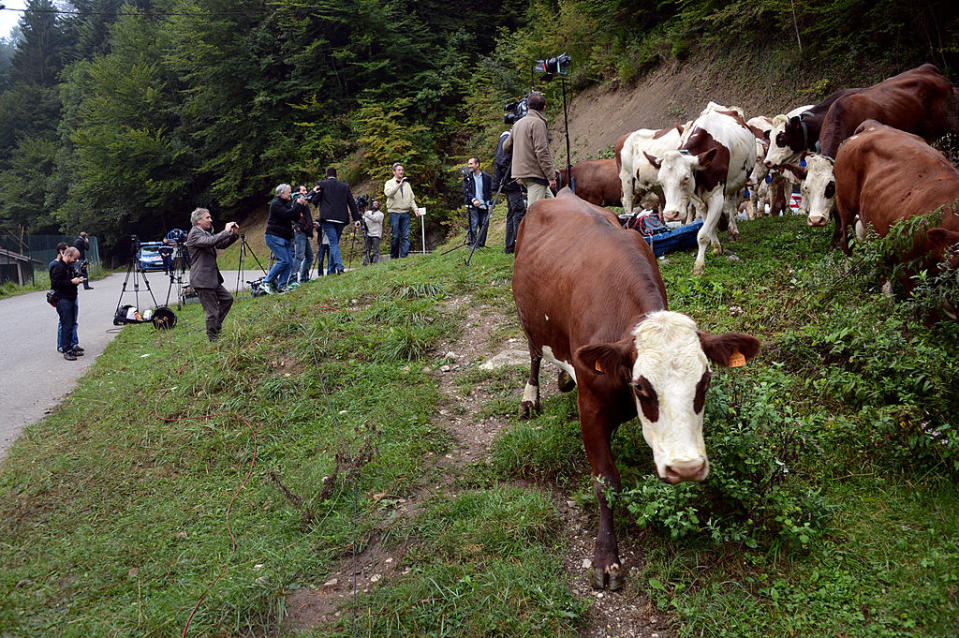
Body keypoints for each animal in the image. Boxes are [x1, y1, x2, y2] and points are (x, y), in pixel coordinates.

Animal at [512, 189, 760, 592]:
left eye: (705, 381)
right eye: (642, 386)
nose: (687, 467)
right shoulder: (591, 407)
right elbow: (606, 482)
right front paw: (606, 559)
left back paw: (563, 379)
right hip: (528, 317)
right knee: (534, 353)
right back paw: (530, 398)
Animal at [644, 104, 756, 276]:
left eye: (685, 178)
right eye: (661, 182)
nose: (670, 214)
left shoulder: (716, 196)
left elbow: (702, 234)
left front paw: (699, 267)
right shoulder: (697, 200)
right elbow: (707, 226)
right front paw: (716, 247)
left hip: (738, 182)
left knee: (731, 205)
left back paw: (733, 230)